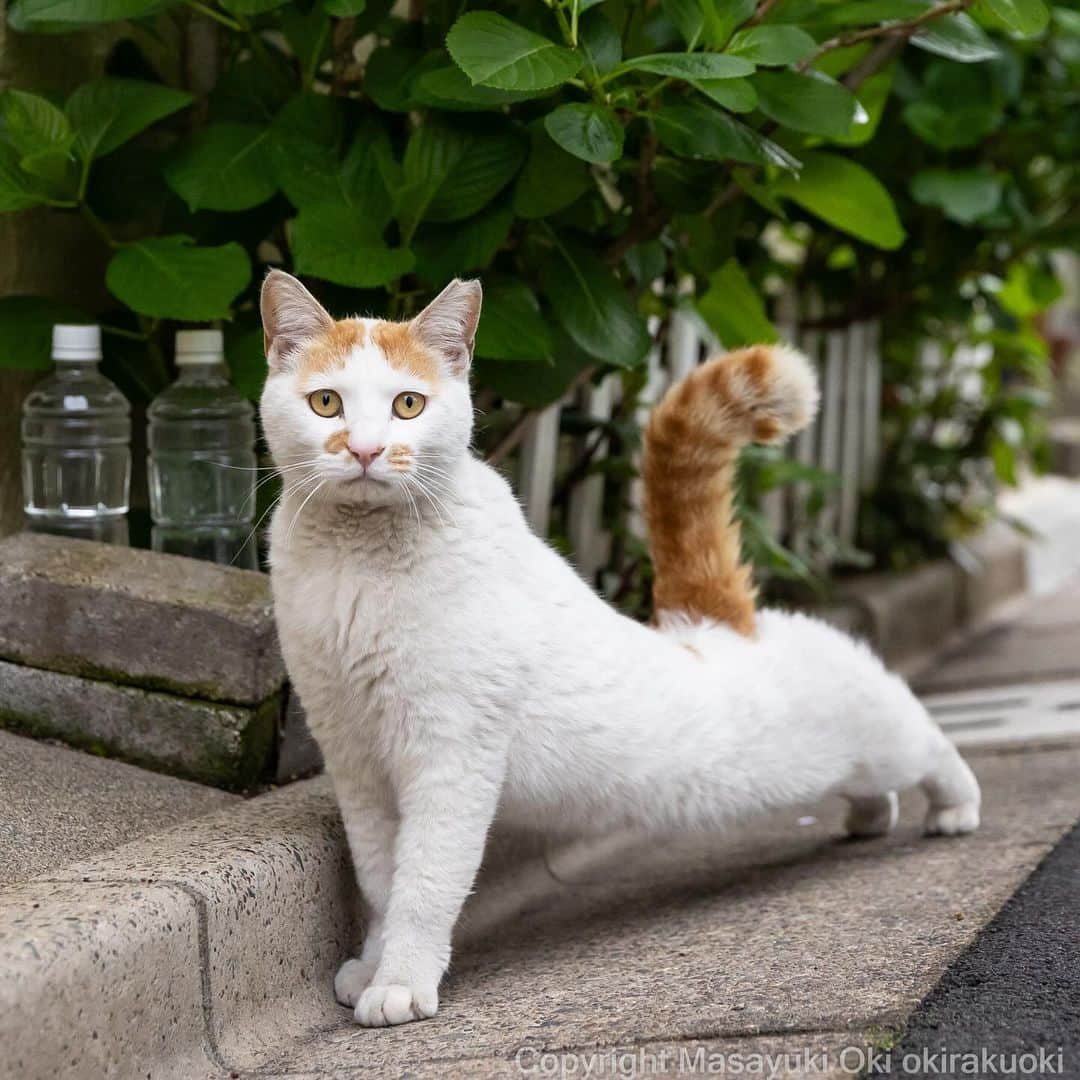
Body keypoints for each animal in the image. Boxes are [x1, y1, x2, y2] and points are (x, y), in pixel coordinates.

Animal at [259, 270, 980, 1028]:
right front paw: (371, 963)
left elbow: (425, 880)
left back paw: (954, 806)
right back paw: (871, 816)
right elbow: (380, 878)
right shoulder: (355, 761)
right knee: (874, 778)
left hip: (872, 726)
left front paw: (399, 981)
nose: (366, 449)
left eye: (408, 404)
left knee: (925, 736)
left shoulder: (450, 757)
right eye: (327, 402)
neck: (357, 562)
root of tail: (717, 624)